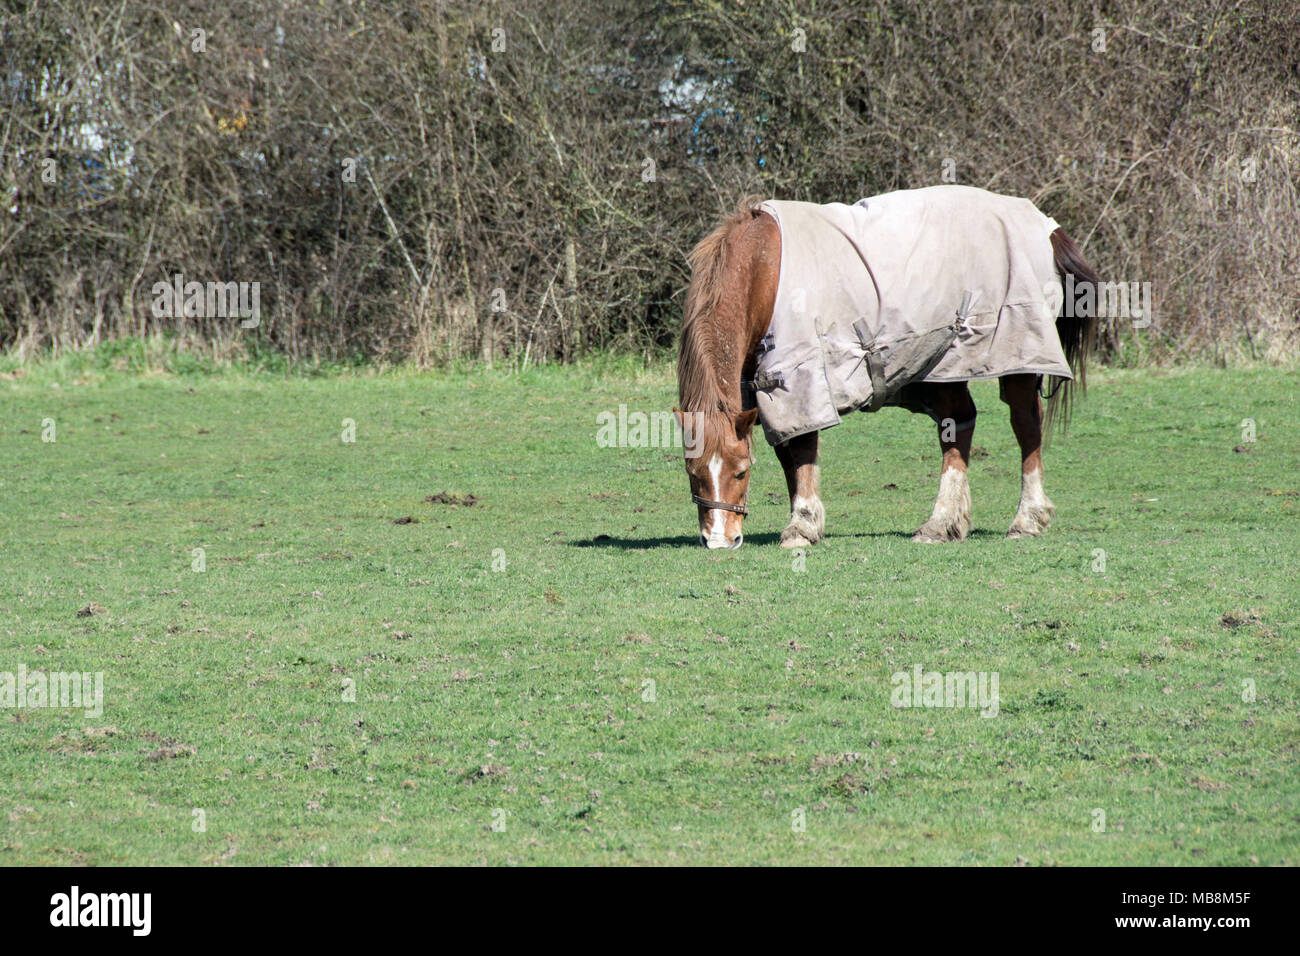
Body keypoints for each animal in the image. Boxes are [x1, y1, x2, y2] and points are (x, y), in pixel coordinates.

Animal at [681, 188, 1097, 546]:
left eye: (741, 471)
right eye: (693, 473)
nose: (719, 540)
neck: (762, 267)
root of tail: (1048, 229)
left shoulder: (800, 374)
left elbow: (801, 447)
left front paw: (802, 525)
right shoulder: (767, 386)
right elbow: (788, 453)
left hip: (1017, 355)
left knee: (1026, 427)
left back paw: (1027, 518)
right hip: (946, 362)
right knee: (958, 425)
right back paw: (943, 523)